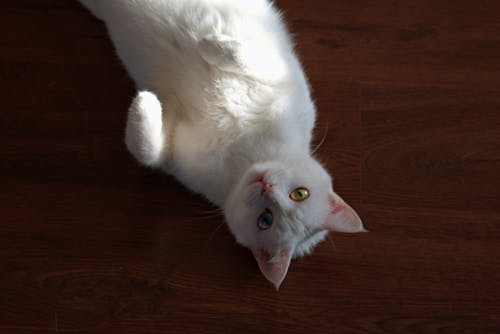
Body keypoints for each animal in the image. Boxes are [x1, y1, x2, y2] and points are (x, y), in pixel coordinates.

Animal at [79, 0, 368, 288]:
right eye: (300, 193)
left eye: (266, 220)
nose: (266, 185)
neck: (245, 150)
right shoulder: (282, 75)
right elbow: (247, 58)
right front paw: (210, 45)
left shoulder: (172, 152)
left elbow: (148, 151)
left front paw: (145, 102)